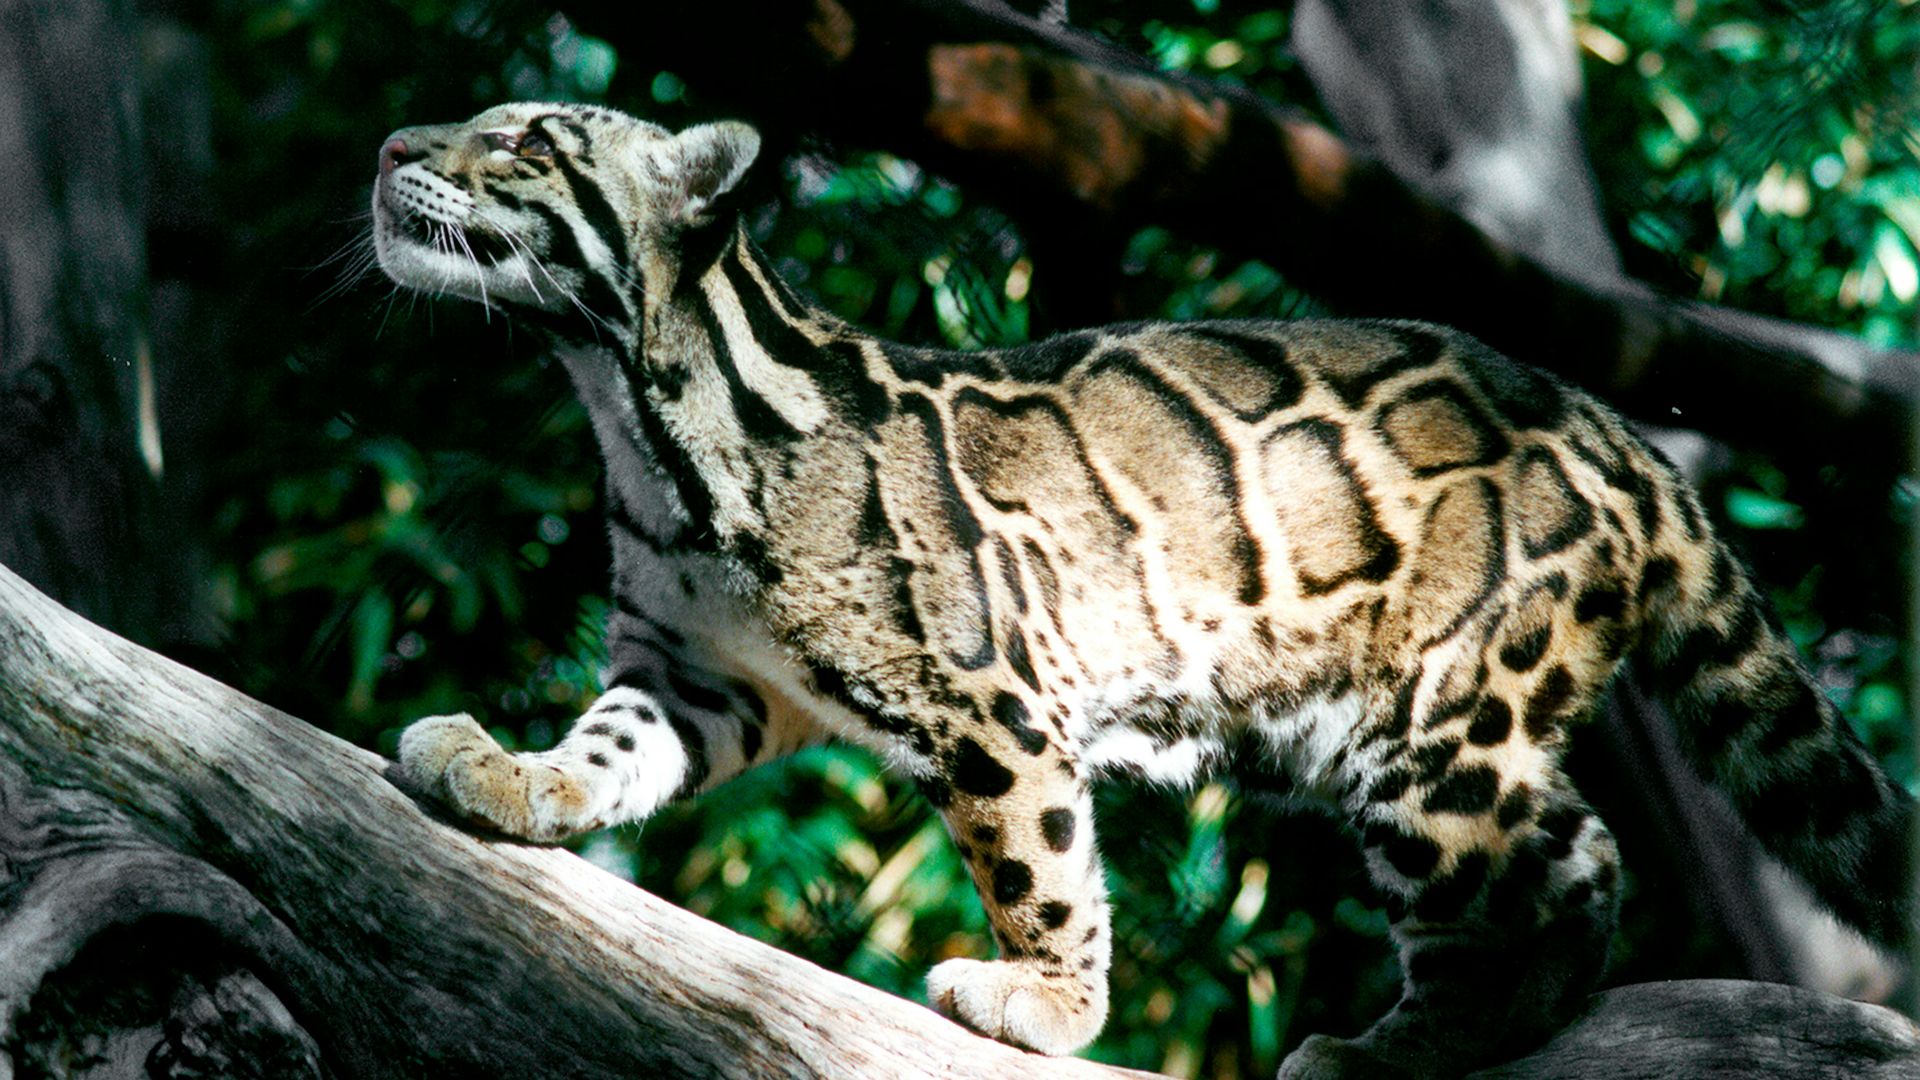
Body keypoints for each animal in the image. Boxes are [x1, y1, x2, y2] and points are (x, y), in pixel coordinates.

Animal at [370, 102, 1914, 1077]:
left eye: (523, 139)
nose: (389, 148)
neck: (636, 411)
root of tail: (1614, 431)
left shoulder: (990, 688)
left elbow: (1038, 859)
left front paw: (1048, 1001)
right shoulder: (691, 671)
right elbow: (606, 750)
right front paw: (514, 776)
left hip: (1434, 729)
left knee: (1547, 868)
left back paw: (1397, 1050)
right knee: (1564, 862)